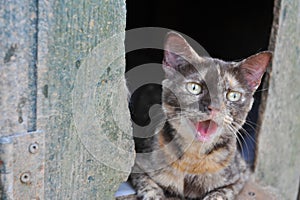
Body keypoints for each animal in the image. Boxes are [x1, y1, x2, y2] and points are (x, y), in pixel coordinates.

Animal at [129, 32, 272, 199]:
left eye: (233, 96)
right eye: (194, 87)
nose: (214, 107)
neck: (194, 158)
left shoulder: (240, 175)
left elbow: (221, 193)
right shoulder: (137, 164)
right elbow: (149, 187)